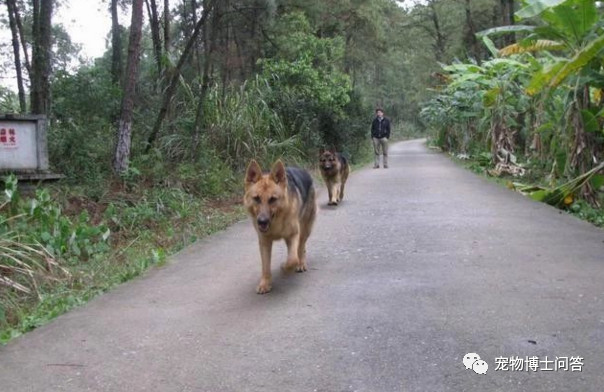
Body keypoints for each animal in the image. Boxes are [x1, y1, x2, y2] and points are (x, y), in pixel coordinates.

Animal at [242, 160, 316, 294]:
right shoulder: (264, 242)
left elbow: (292, 259)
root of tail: (303, 170)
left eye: (272, 199)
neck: (276, 222)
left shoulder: (293, 235)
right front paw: (265, 283)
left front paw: (285, 267)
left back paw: (301, 263)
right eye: (256, 198)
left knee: (300, 247)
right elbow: (265, 266)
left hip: (304, 230)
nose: (262, 221)